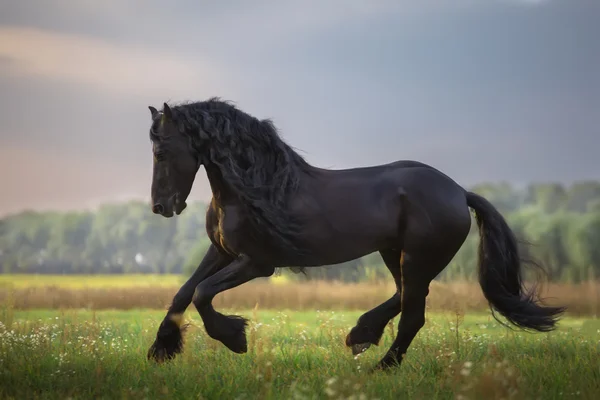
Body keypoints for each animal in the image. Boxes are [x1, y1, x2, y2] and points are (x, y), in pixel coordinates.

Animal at [144, 98, 564, 370]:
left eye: (161, 152)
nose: (161, 207)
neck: (254, 188)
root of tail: (459, 192)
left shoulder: (257, 263)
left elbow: (202, 293)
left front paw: (235, 338)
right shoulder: (222, 253)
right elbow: (184, 291)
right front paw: (161, 349)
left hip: (417, 258)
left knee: (413, 314)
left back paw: (381, 365)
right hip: (394, 253)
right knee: (404, 298)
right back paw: (361, 335)